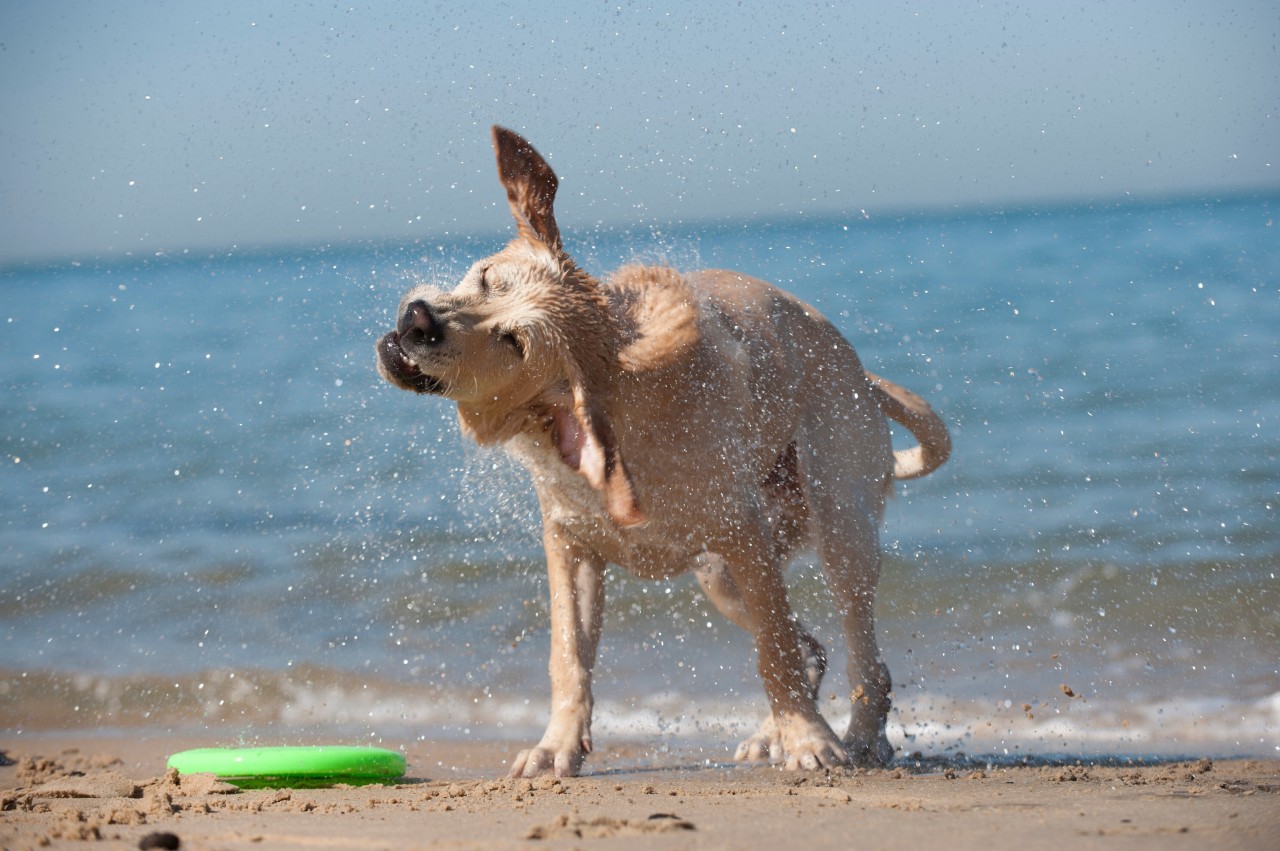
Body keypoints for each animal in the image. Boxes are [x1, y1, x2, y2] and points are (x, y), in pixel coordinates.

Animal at [373, 127, 947, 778]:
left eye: (512, 342)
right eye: (488, 277)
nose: (418, 320)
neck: (606, 421)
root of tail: (863, 376)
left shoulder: (742, 533)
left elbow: (772, 651)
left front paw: (810, 741)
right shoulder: (571, 547)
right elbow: (569, 657)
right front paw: (556, 746)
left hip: (836, 525)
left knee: (853, 654)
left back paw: (858, 739)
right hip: (720, 573)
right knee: (810, 647)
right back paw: (773, 732)